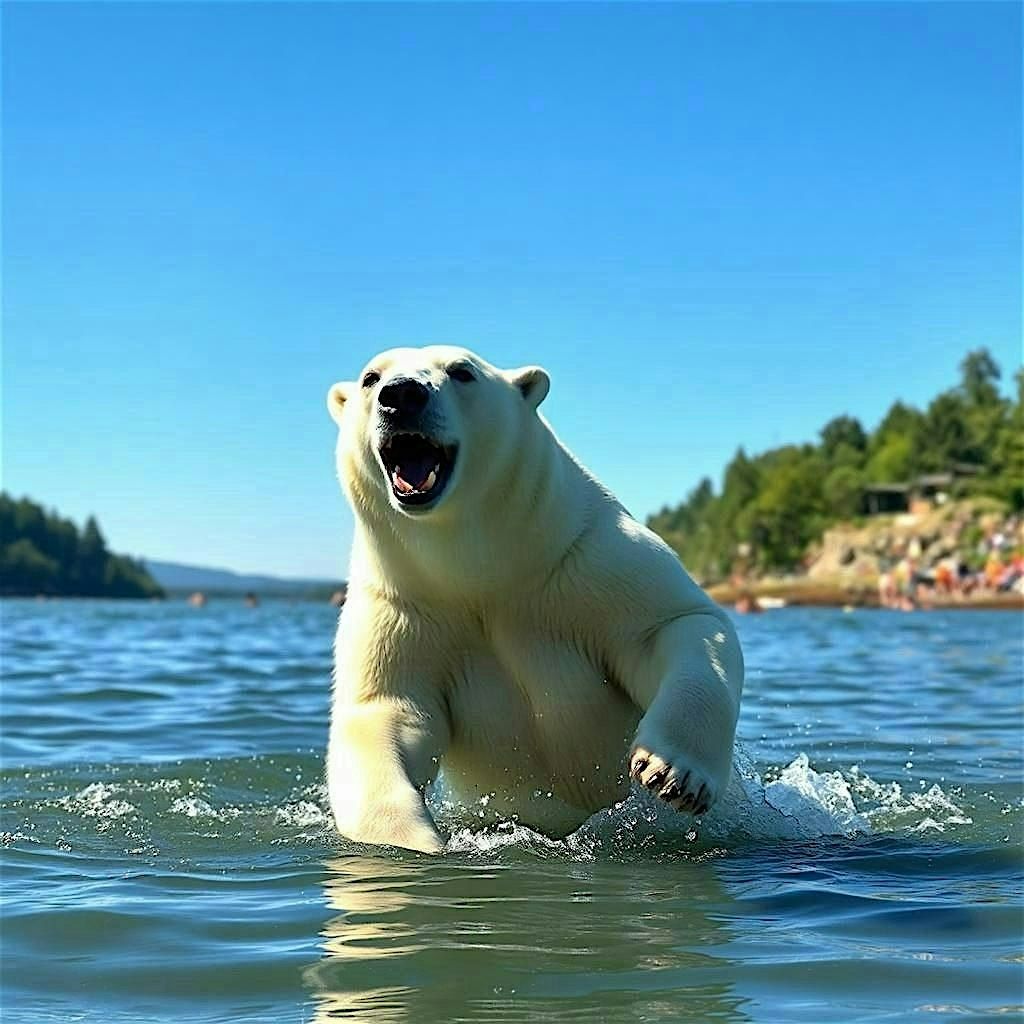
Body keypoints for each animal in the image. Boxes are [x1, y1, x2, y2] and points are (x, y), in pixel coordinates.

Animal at [325, 346, 744, 854]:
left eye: (462, 372)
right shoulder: (406, 603)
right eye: (371, 377)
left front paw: (672, 772)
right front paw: (413, 840)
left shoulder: (582, 560)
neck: (482, 570)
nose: (402, 394)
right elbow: (383, 708)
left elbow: (676, 623)